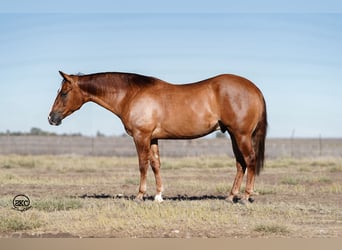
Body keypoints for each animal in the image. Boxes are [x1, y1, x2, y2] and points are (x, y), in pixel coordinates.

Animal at [48, 70, 268, 203]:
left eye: (64, 92)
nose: (51, 118)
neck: (132, 94)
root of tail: (255, 89)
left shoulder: (141, 136)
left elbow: (142, 164)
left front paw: (140, 195)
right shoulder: (152, 138)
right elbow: (155, 164)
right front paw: (158, 196)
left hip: (241, 135)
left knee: (250, 160)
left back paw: (246, 197)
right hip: (233, 135)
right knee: (240, 163)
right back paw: (230, 197)